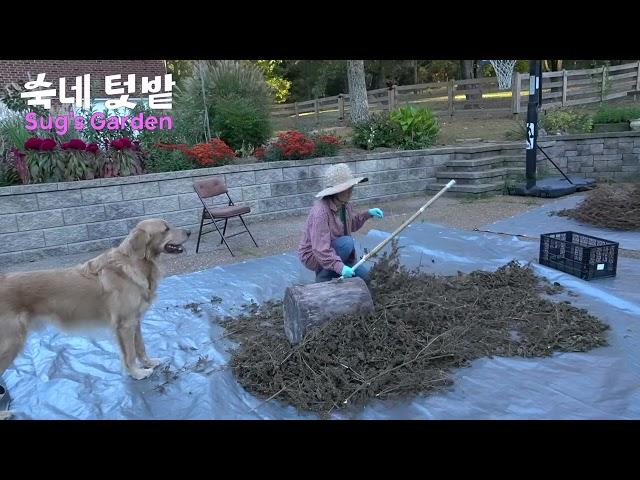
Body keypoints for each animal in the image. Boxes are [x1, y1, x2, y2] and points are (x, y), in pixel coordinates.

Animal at [0, 218, 190, 390]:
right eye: (166, 229)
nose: (188, 232)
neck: (134, 264)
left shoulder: (135, 321)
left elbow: (140, 347)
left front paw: (148, 363)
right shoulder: (125, 325)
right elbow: (129, 355)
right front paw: (137, 373)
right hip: (10, 342)